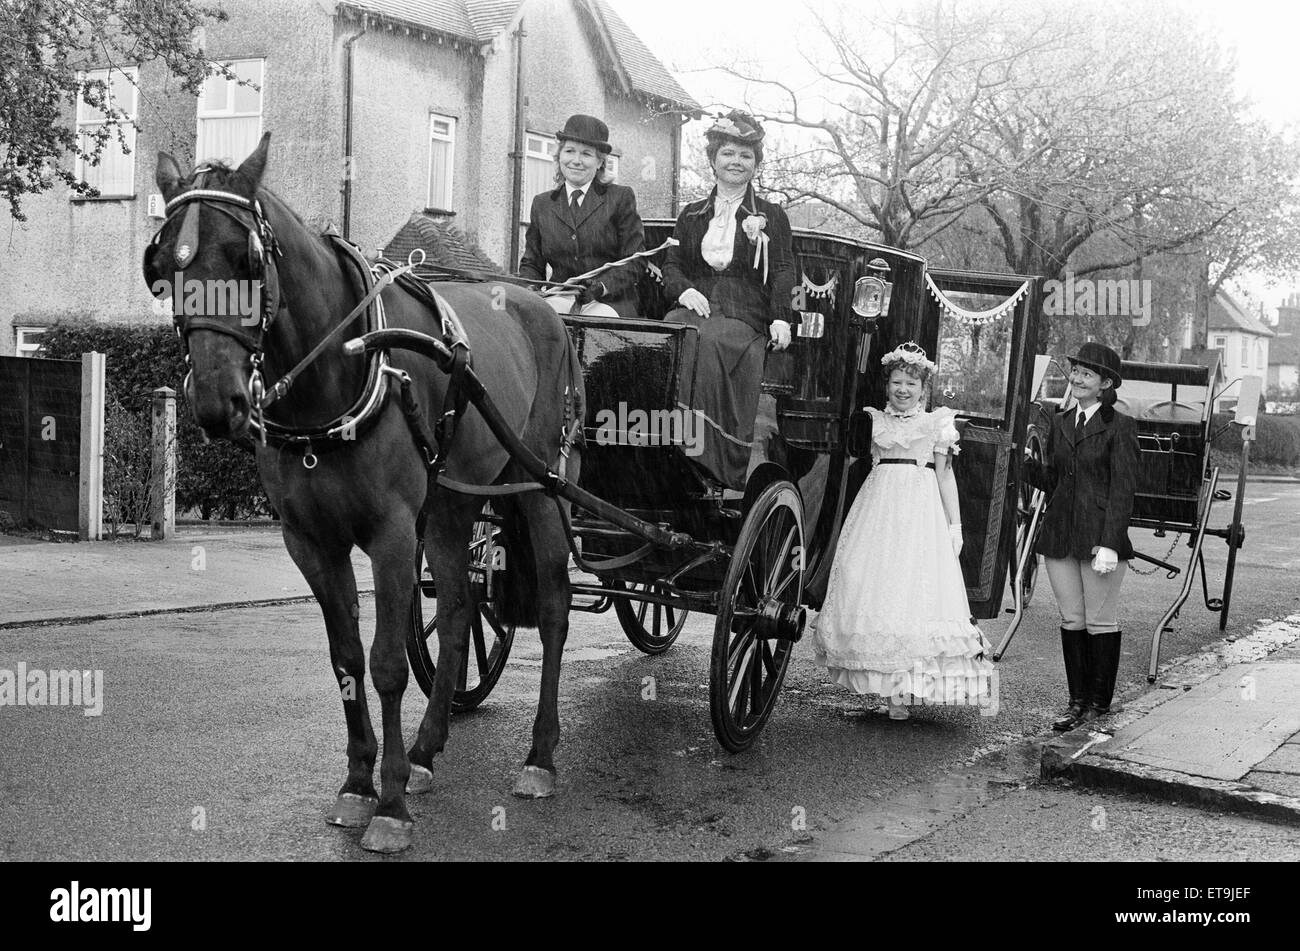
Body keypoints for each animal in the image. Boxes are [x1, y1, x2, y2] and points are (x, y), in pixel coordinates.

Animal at [143, 133, 585, 852]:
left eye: (247, 259)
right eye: (162, 268)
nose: (215, 401)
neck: (341, 368)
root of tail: (544, 306)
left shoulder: (391, 534)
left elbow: (386, 665)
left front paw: (392, 803)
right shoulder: (310, 541)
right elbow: (346, 657)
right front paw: (358, 784)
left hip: (538, 486)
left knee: (552, 607)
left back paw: (540, 757)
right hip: (454, 504)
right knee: (458, 610)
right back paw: (431, 750)